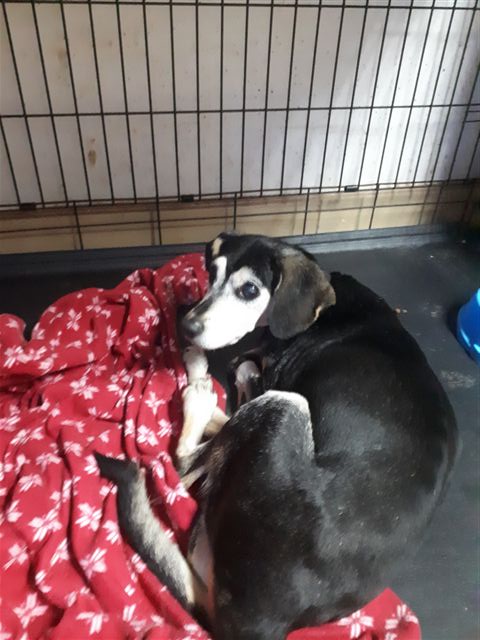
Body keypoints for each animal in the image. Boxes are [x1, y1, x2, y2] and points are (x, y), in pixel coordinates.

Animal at [96, 233, 458, 640]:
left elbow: (241, 373)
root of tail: (264, 620)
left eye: (250, 290)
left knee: (186, 459)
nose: (187, 326)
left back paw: (198, 389)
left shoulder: (272, 376)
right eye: (212, 274)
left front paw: (201, 366)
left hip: (285, 406)